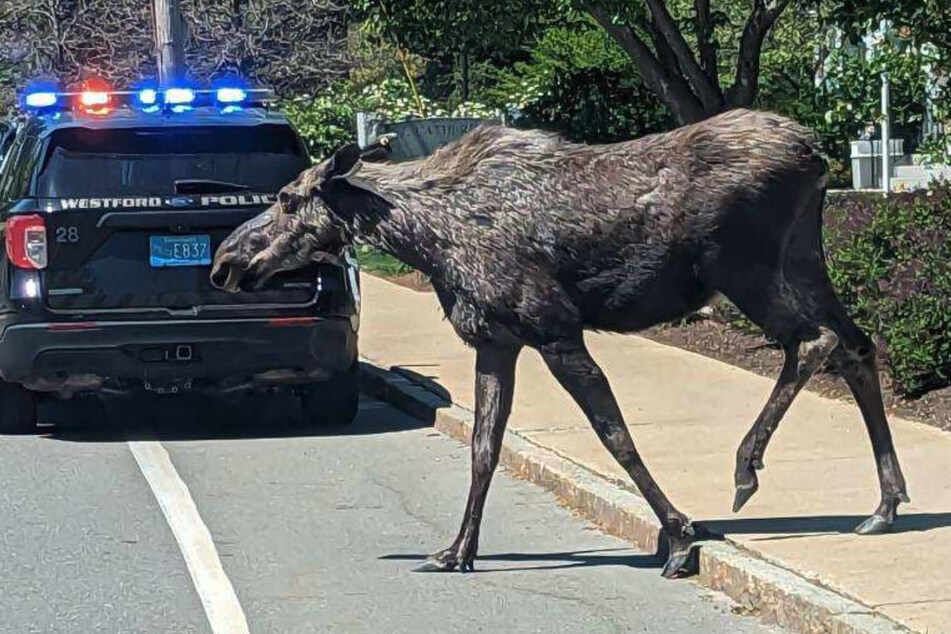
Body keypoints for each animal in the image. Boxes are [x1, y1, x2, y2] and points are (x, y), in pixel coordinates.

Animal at [212, 110, 912, 576]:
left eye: (287, 198)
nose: (223, 262)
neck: (425, 238)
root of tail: (817, 155)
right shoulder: (495, 342)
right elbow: (484, 447)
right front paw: (457, 550)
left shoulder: (554, 329)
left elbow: (615, 435)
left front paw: (681, 537)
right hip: (804, 259)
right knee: (858, 345)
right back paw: (884, 504)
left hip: (745, 267)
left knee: (814, 342)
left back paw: (746, 467)